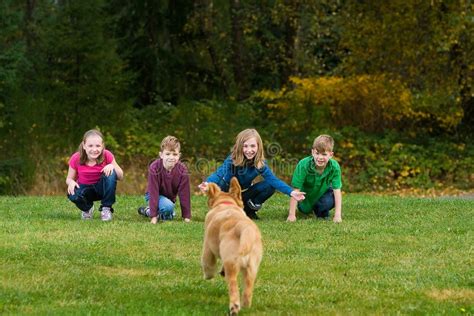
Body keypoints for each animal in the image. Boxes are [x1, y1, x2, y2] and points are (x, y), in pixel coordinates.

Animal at [201, 177, 262, 314]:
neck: (226, 204)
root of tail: (244, 227)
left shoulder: (207, 247)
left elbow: (208, 265)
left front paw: (208, 275)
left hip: (232, 264)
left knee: (233, 285)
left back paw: (234, 307)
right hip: (252, 268)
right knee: (248, 289)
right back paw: (245, 305)